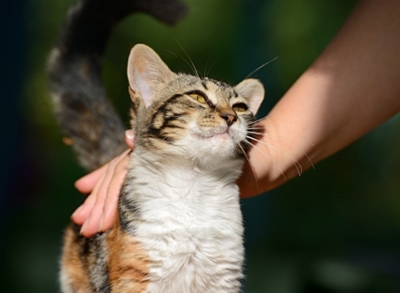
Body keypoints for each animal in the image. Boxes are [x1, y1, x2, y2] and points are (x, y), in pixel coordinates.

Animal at [47, 0, 264, 290]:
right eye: (198, 97)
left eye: (240, 107)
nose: (231, 117)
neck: (194, 183)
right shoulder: (135, 277)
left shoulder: (224, 278)